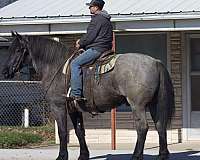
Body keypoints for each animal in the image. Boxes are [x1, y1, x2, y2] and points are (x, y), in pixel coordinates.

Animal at [3, 31, 175, 160]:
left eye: (18, 50)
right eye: (9, 50)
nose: (5, 72)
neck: (56, 67)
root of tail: (155, 62)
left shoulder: (58, 106)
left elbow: (63, 132)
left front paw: (62, 156)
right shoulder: (74, 108)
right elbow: (79, 131)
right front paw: (83, 155)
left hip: (137, 105)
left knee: (142, 128)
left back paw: (136, 156)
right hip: (153, 104)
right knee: (160, 125)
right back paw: (162, 155)